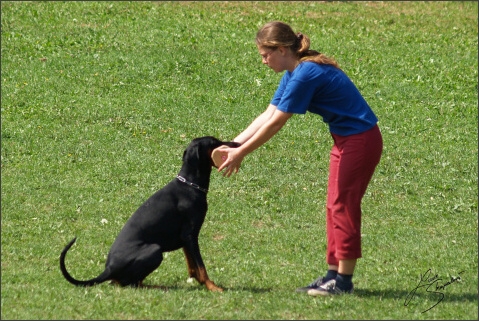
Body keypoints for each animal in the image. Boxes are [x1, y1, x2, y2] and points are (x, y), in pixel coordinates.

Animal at [60, 136, 240, 292]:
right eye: (214, 142)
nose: (237, 144)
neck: (189, 185)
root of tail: (108, 268)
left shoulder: (186, 238)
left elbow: (193, 267)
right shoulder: (190, 235)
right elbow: (201, 267)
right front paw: (213, 287)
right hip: (154, 251)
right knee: (132, 284)